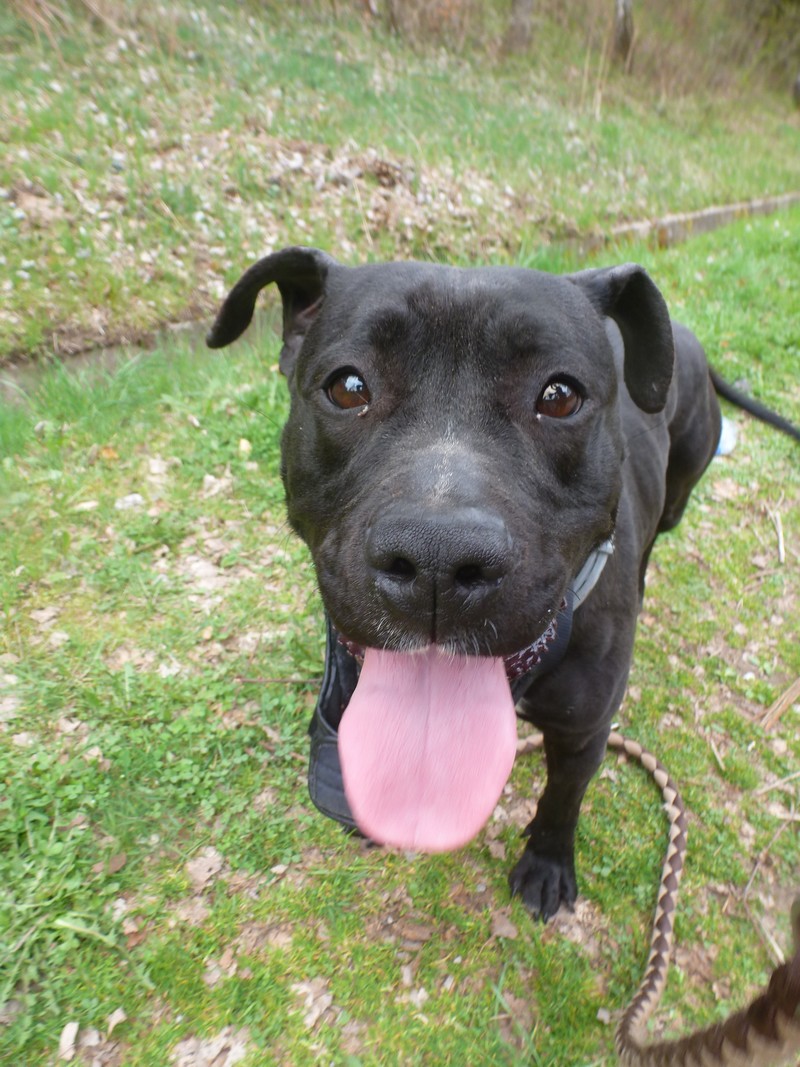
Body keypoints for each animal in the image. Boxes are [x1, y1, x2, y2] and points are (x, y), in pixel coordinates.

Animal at [206, 247, 772, 917]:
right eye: (348, 387)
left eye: (560, 396)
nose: (437, 560)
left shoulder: (585, 735)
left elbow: (562, 801)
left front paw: (547, 865)